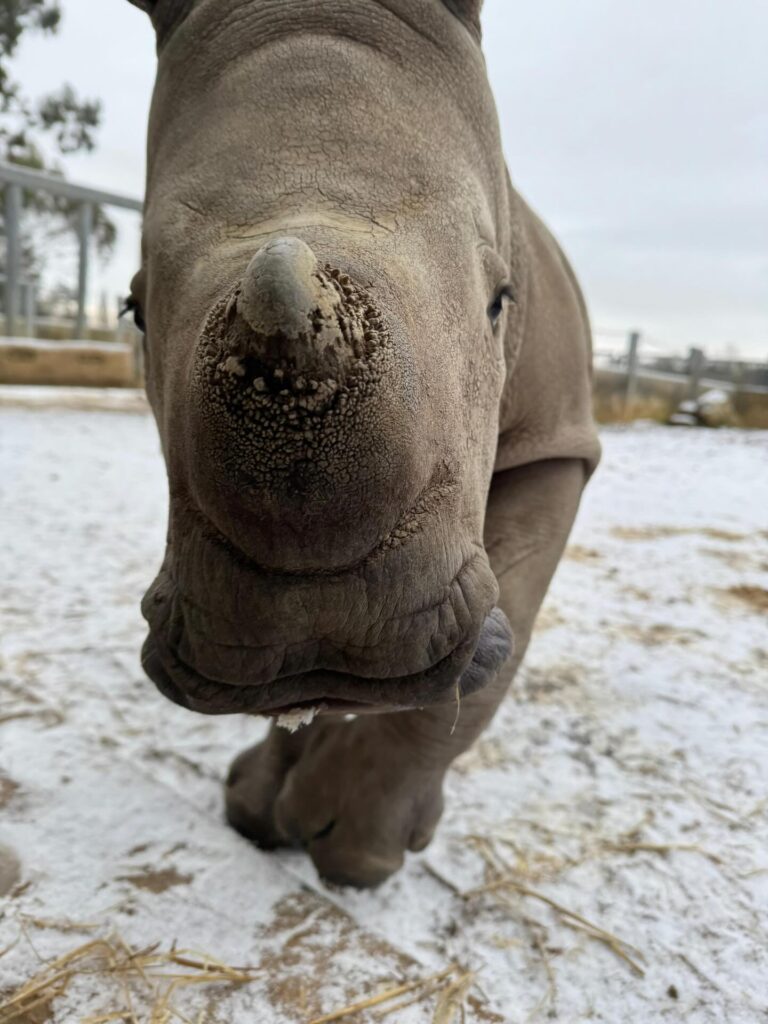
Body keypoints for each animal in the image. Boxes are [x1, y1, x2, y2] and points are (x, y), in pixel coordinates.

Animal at [126, 0, 600, 887]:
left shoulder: (559, 438)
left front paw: (354, 853)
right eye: (131, 312)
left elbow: (498, 645)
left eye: (502, 300)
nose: (322, 639)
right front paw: (260, 810)